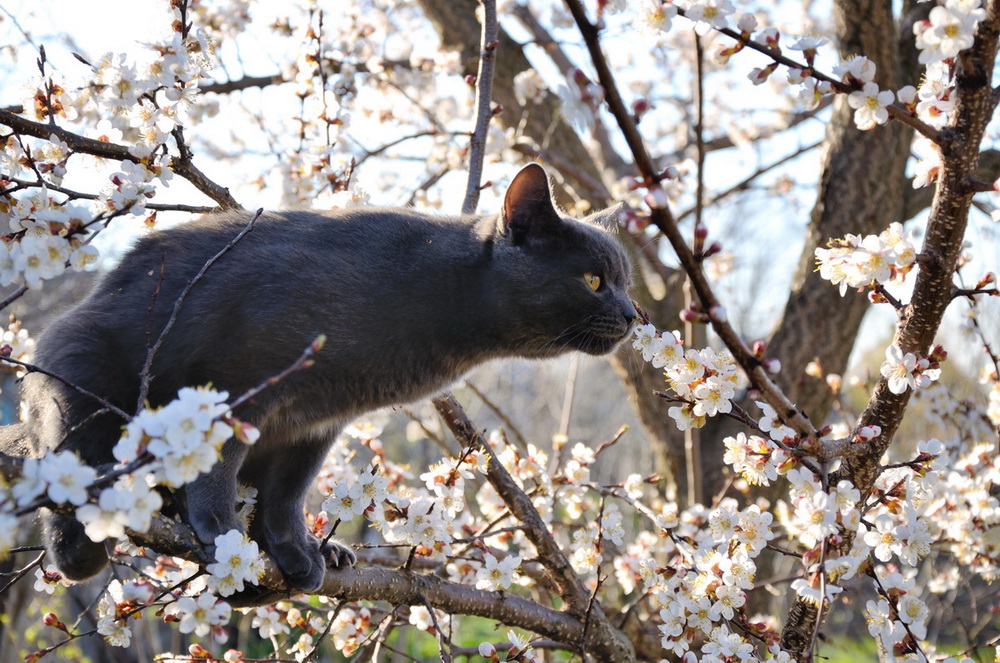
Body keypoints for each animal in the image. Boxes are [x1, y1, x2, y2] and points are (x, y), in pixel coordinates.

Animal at [3, 163, 636, 592]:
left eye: (624, 281)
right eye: (593, 280)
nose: (634, 314)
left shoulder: (315, 423)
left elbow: (288, 494)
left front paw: (296, 546)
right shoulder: (237, 384)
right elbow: (217, 458)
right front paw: (217, 527)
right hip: (79, 370)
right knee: (67, 485)